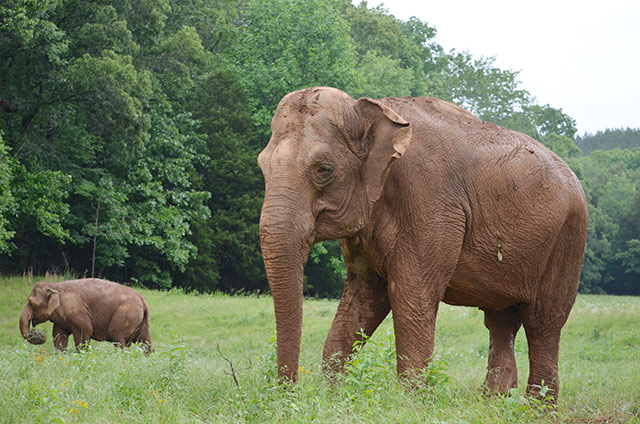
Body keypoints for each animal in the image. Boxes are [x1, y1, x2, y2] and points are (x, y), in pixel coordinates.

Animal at [19, 278, 152, 352]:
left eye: (30, 302)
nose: (35, 332)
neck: (55, 285)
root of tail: (143, 300)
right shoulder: (62, 320)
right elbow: (58, 334)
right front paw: (60, 354)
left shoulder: (76, 311)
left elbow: (85, 331)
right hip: (141, 320)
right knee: (145, 341)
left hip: (126, 315)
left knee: (118, 338)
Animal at [258, 85, 588, 400]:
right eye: (262, 166)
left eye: (323, 170)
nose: (288, 392)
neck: (372, 110)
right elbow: (363, 293)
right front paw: (335, 396)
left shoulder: (430, 201)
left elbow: (410, 292)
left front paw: (410, 404)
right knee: (501, 321)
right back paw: (493, 402)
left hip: (568, 239)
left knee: (543, 321)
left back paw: (538, 409)